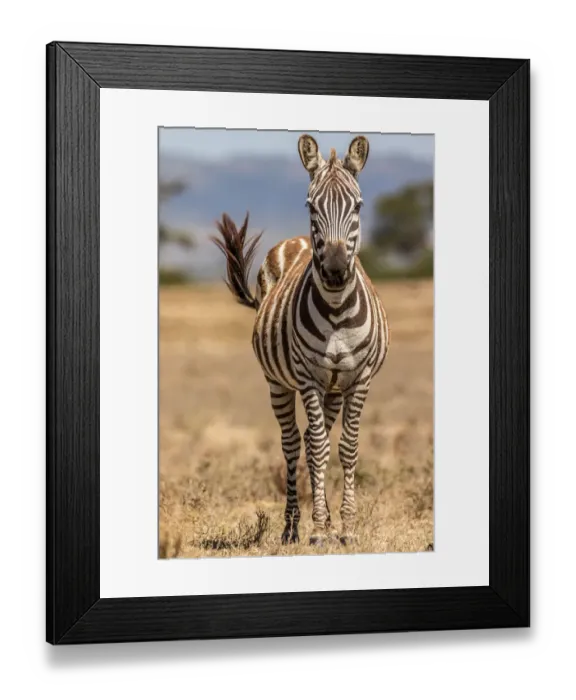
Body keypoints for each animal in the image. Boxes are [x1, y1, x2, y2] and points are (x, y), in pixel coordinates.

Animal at [212, 134, 389, 546]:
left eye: (358, 205)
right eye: (311, 205)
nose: (336, 271)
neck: (338, 308)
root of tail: (294, 240)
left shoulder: (360, 380)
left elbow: (347, 447)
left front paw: (347, 527)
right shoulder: (308, 378)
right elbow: (320, 447)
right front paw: (321, 529)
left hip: (334, 389)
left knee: (310, 438)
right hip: (278, 381)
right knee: (295, 442)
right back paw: (292, 526)